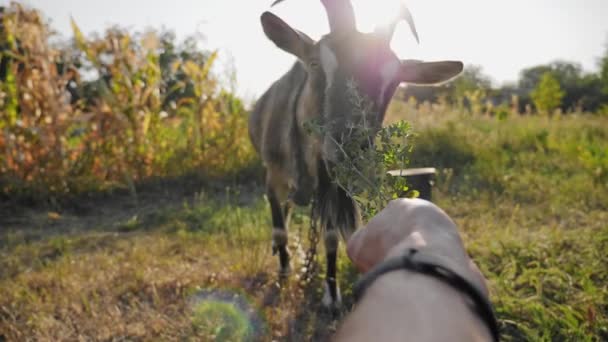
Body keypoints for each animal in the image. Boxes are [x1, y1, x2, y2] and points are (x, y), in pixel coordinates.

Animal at [249, 0, 464, 308]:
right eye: (316, 64)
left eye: (394, 81)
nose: (352, 150)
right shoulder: (272, 174)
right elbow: (279, 227)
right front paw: (284, 272)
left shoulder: (330, 186)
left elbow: (330, 237)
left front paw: (331, 293)